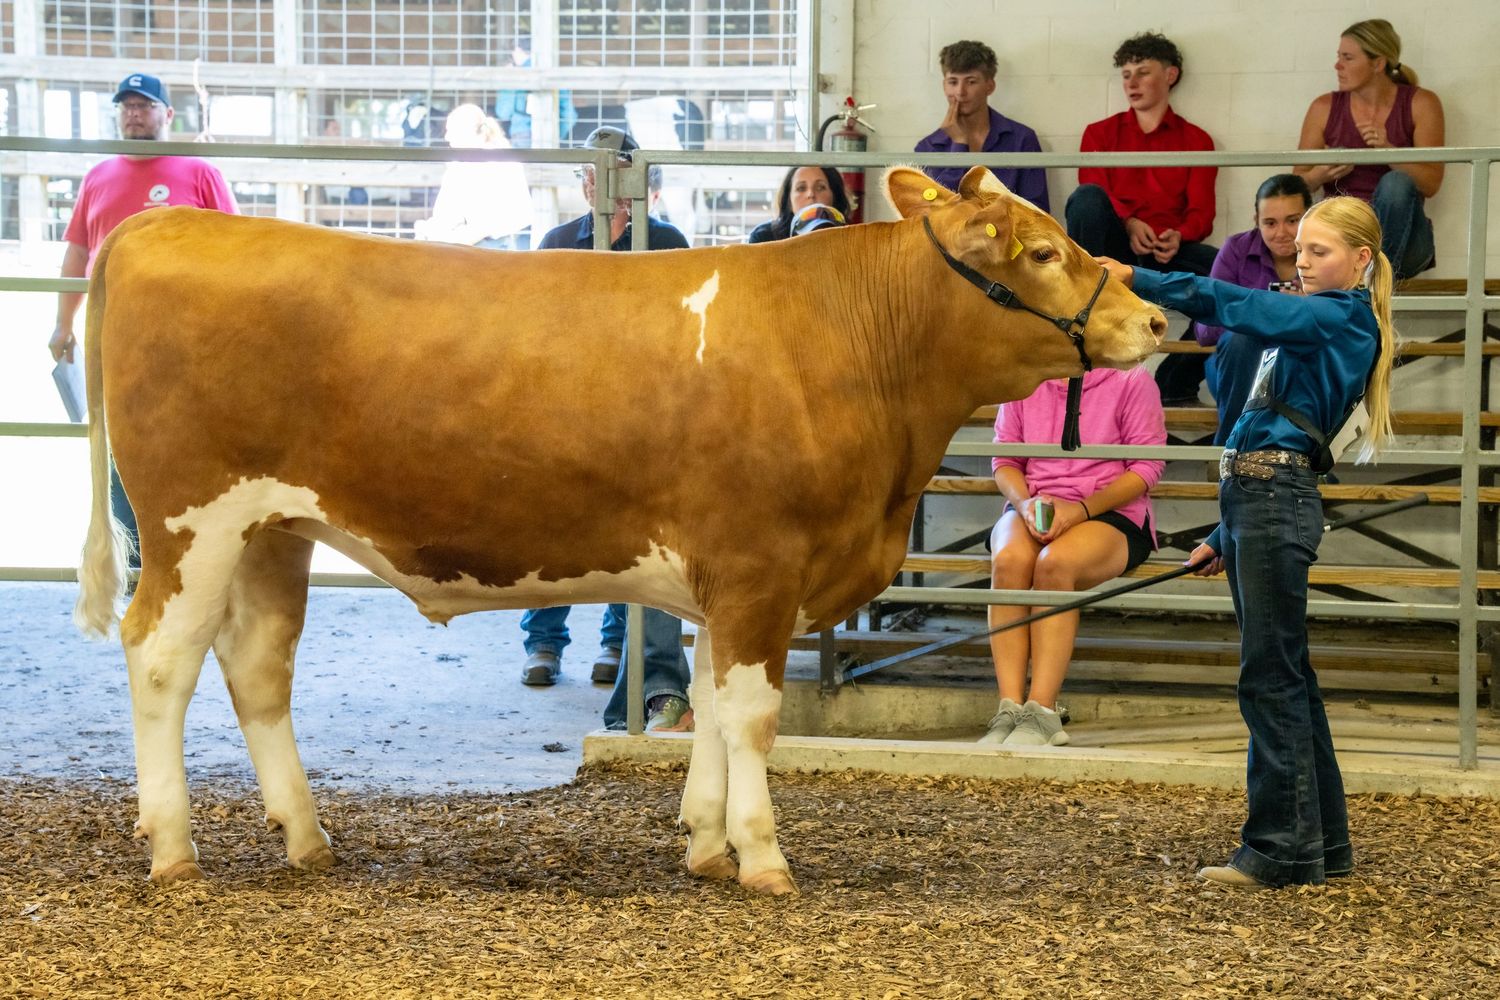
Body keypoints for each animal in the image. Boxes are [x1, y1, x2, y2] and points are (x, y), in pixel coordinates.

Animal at [73, 165, 1165, 894]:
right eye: (1041, 253)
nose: (1154, 323)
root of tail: (164, 228)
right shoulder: (761, 564)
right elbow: (755, 714)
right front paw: (763, 855)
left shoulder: (725, 577)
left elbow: (714, 706)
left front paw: (707, 842)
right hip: (191, 523)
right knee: (161, 657)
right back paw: (173, 846)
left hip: (273, 528)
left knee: (258, 665)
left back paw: (306, 839)